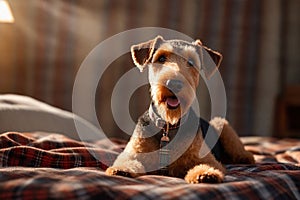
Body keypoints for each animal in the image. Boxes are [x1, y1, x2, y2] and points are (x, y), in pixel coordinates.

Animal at [105, 35, 253, 183]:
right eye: (161, 58)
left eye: (191, 62)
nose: (174, 83)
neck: (168, 126)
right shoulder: (133, 153)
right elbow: (128, 161)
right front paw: (121, 169)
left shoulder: (209, 160)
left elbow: (206, 164)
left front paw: (205, 174)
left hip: (223, 125)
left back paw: (246, 157)